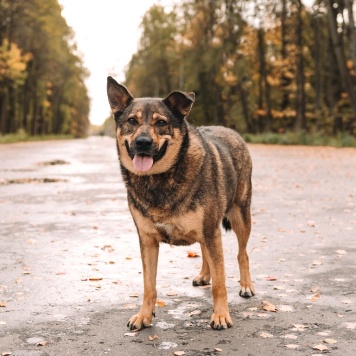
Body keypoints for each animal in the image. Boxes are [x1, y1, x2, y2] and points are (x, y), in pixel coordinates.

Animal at [107, 76, 254, 330]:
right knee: (205, 251)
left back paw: (246, 285)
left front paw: (221, 314)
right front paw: (144, 315)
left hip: (240, 216)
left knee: (241, 253)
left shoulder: (210, 231)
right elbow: (148, 285)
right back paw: (204, 274)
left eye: (161, 123)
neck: (158, 180)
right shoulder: (147, 240)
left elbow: (220, 284)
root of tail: (231, 131)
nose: (143, 142)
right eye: (132, 121)